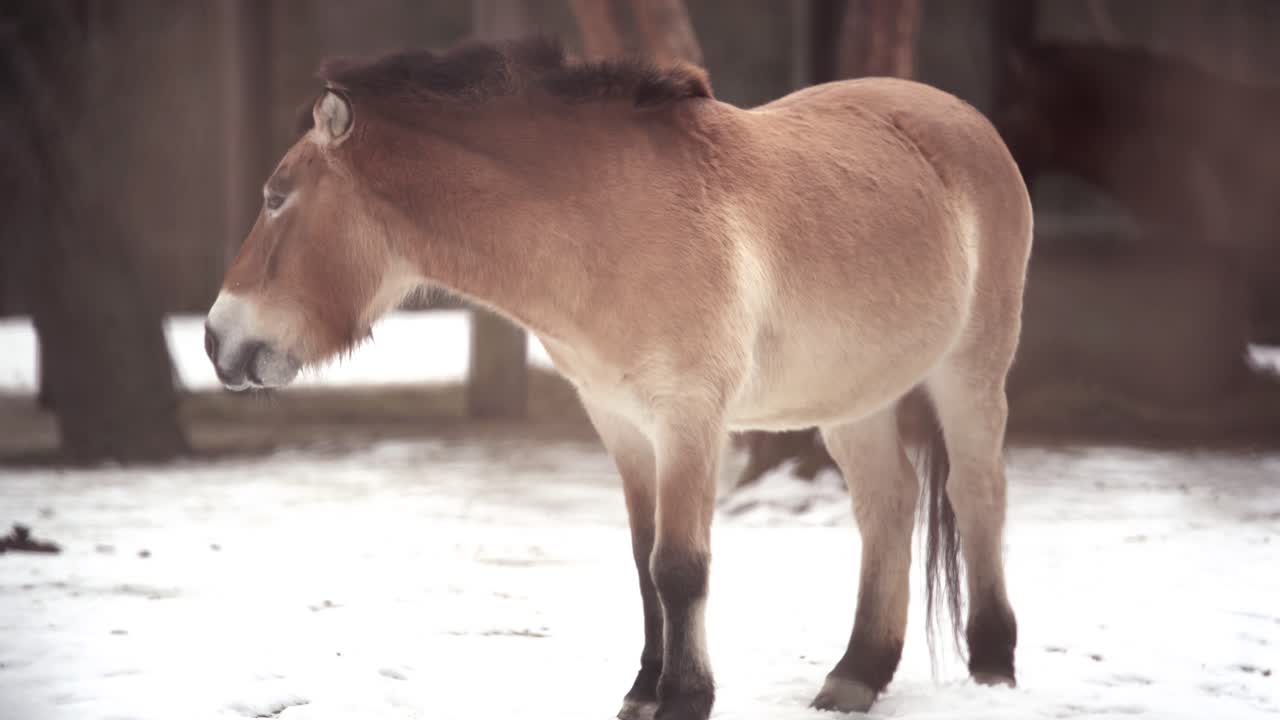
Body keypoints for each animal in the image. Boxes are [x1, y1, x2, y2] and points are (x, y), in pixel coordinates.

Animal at [203, 38, 1031, 720]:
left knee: (978, 495)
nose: (217, 340)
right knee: (888, 508)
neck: (608, 223)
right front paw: (643, 690)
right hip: (854, 399)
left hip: (971, 371)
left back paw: (992, 666)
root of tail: (967, 121)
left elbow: (680, 566)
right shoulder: (620, 422)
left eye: (275, 197)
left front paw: (686, 699)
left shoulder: (689, 418)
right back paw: (856, 675)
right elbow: (643, 560)